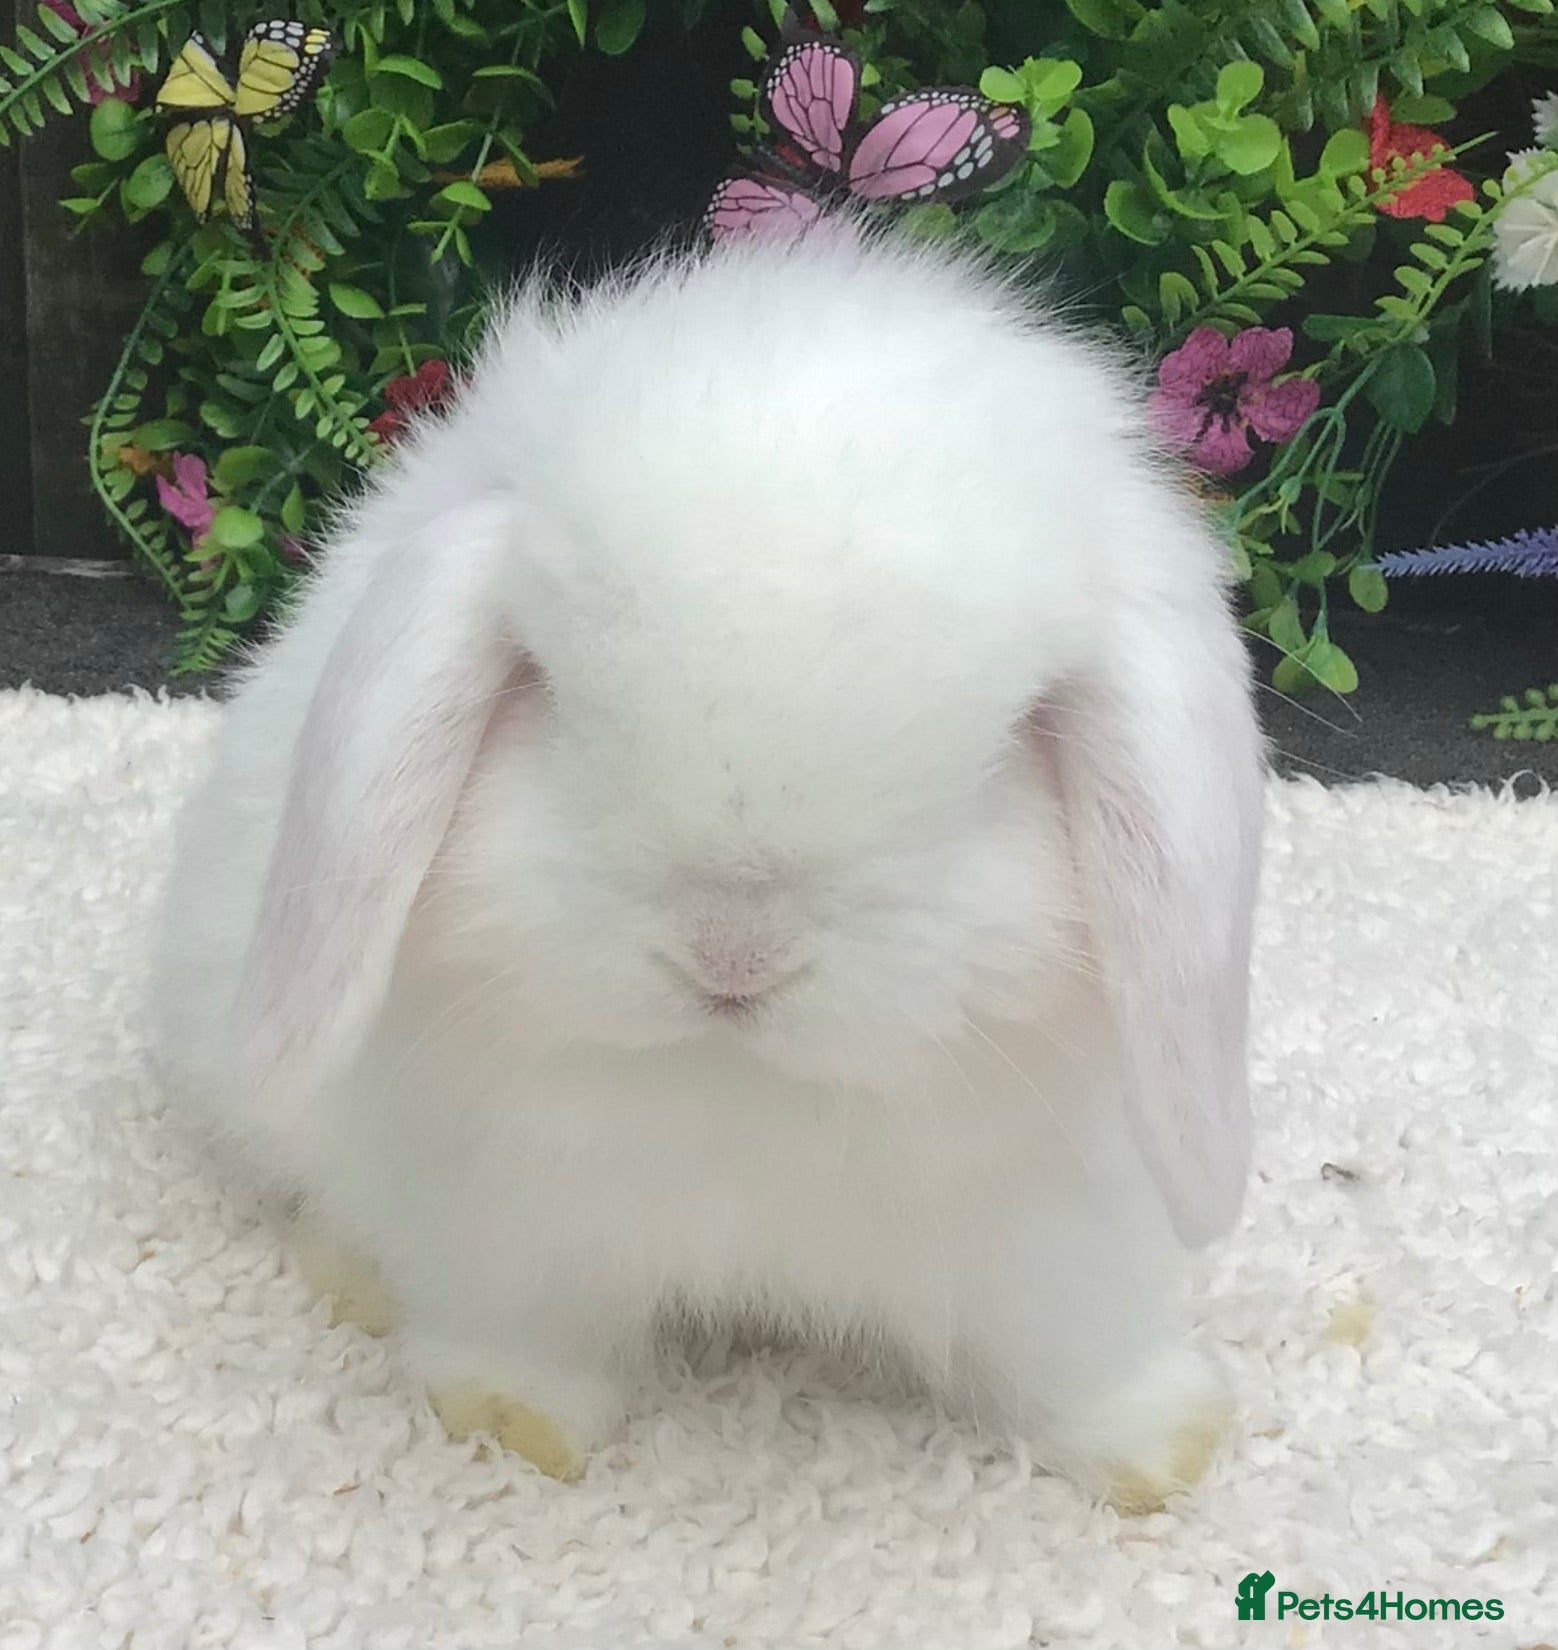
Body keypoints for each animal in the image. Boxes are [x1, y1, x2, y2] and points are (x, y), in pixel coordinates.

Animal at [152, 222, 1264, 1510]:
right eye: (543, 684)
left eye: (1007, 743)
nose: (732, 955)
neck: (740, 1094)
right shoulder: (512, 1216)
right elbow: (520, 1331)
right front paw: (513, 1423)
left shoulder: (1053, 1231)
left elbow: (1074, 1352)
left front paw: (1162, 1451)